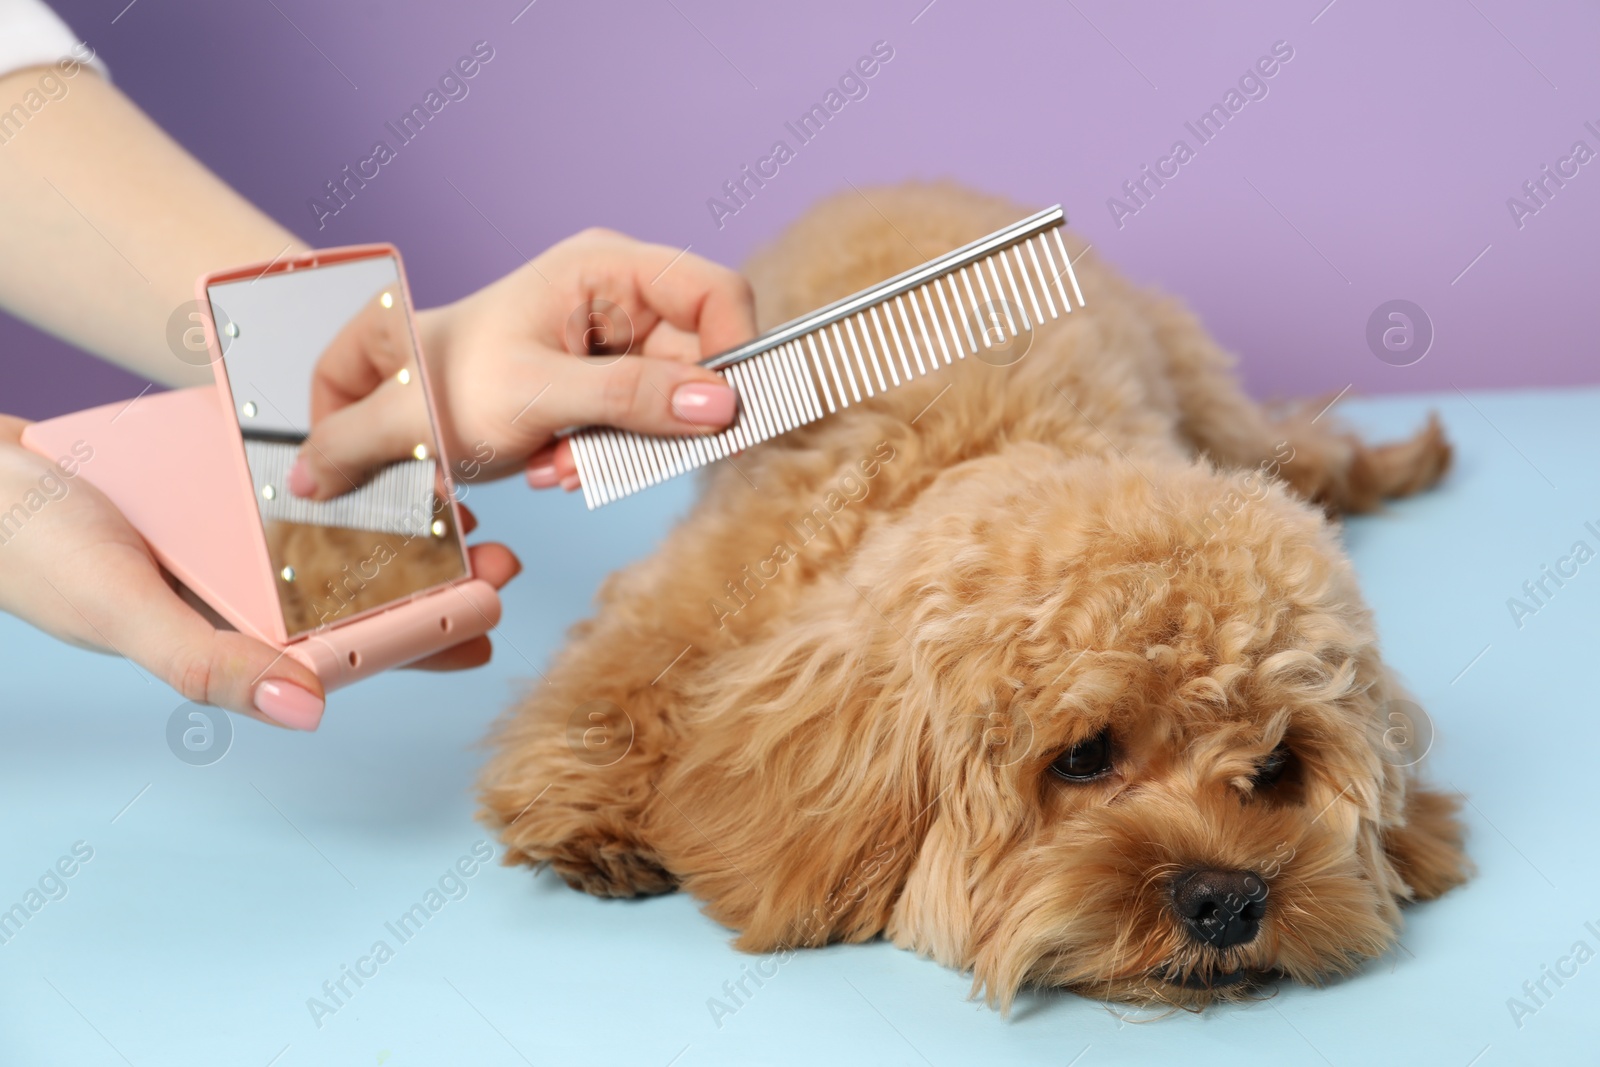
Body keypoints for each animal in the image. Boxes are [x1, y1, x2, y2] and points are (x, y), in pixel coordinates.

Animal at [476, 183, 1472, 1011]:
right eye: (1083, 757)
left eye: (1276, 765)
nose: (1226, 898)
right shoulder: (704, 585)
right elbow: (617, 677)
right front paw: (586, 812)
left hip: (1209, 399)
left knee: (1298, 445)